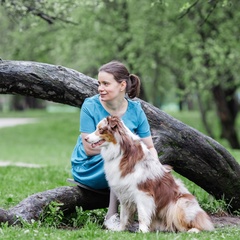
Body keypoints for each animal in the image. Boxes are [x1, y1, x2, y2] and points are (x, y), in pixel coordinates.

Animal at [84, 116, 214, 232]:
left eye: (101, 129)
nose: (85, 138)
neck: (121, 151)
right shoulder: (124, 193)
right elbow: (123, 216)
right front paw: (120, 230)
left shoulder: (143, 193)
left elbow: (142, 215)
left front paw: (142, 231)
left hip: (179, 205)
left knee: (198, 225)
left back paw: (193, 230)